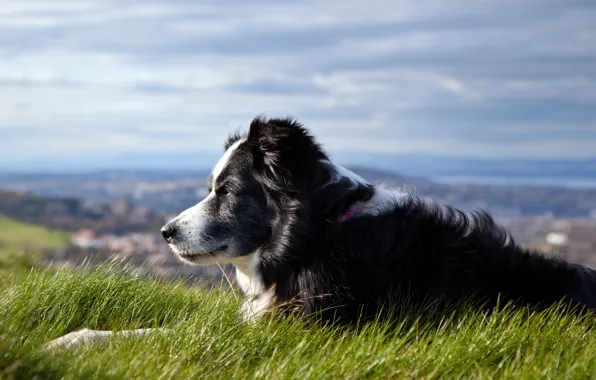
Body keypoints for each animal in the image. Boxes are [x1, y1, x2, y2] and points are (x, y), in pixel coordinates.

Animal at [44, 116, 596, 350]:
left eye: (226, 190)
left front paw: (69, 343)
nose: (165, 232)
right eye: (210, 187)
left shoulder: (297, 326)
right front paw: (72, 336)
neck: (317, 236)